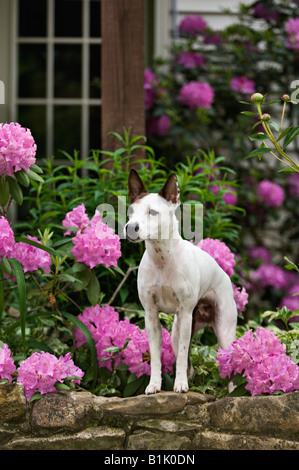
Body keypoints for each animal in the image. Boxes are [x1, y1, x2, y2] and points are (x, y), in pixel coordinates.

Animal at [125, 167, 238, 394]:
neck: (162, 259)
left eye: (152, 212)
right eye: (131, 211)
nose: (130, 227)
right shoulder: (151, 316)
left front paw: (180, 385)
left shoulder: (185, 315)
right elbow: (156, 357)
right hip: (176, 332)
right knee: (187, 362)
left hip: (224, 332)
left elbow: (184, 355)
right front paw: (154, 385)